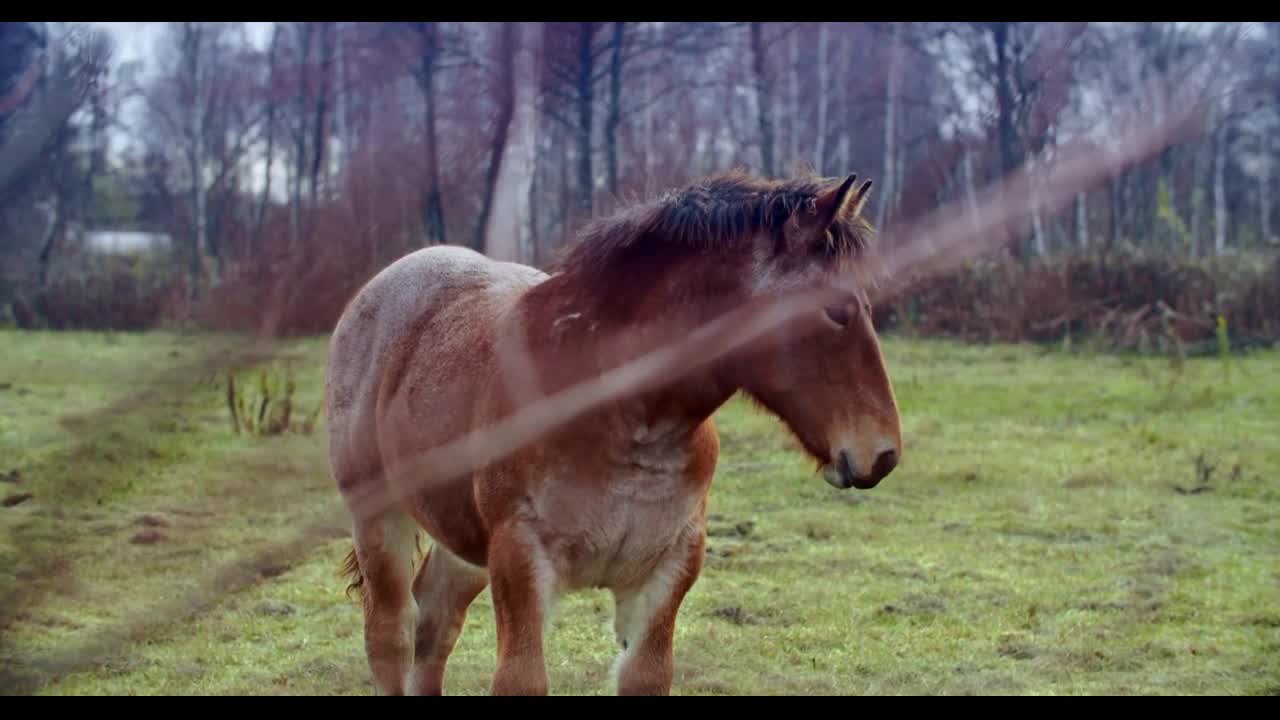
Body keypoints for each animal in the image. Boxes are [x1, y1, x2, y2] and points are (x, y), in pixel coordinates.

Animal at [325, 167, 906, 696]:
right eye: (837, 311)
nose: (881, 453)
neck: (627, 421)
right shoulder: (518, 555)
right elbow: (521, 678)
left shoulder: (667, 567)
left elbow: (646, 674)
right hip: (378, 519)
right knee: (391, 635)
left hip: (462, 541)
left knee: (435, 623)